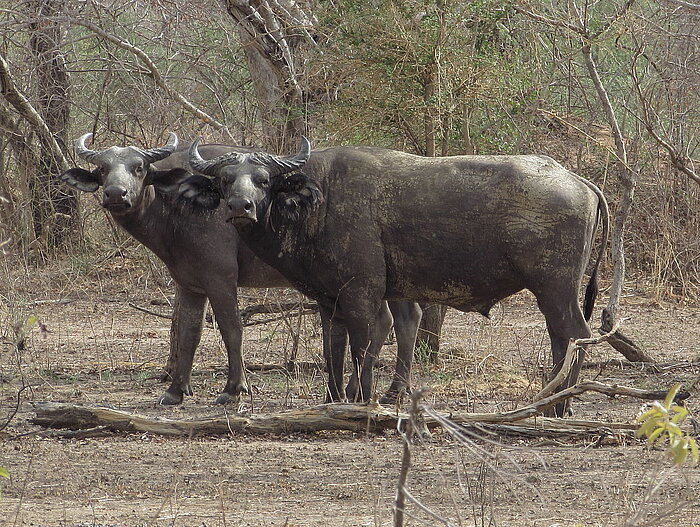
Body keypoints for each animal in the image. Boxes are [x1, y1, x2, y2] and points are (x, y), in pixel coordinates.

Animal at [60, 134, 422, 406]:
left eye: (138, 168)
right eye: (103, 169)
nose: (115, 194)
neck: (180, 203)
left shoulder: (220, 278)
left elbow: (231, 328)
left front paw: (234, 389)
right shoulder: (189, 283)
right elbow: (188, 333)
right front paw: (175, 391)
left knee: (389, 321)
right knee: (404, 319)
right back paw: (393, 391)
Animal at [183, 137, 608, 416]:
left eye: (263, 180)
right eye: (225, 180)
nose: (240, 206)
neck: (320, 201)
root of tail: (575, 179)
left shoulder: (361, 294)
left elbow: (362, 347)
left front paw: (362, 398)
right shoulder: (328, 299)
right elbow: (333, 349)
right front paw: (334, 399)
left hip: (554, 288)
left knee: (575, 333)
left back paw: (558, 403)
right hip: (554, 292)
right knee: (564, 336)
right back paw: (554, 402)